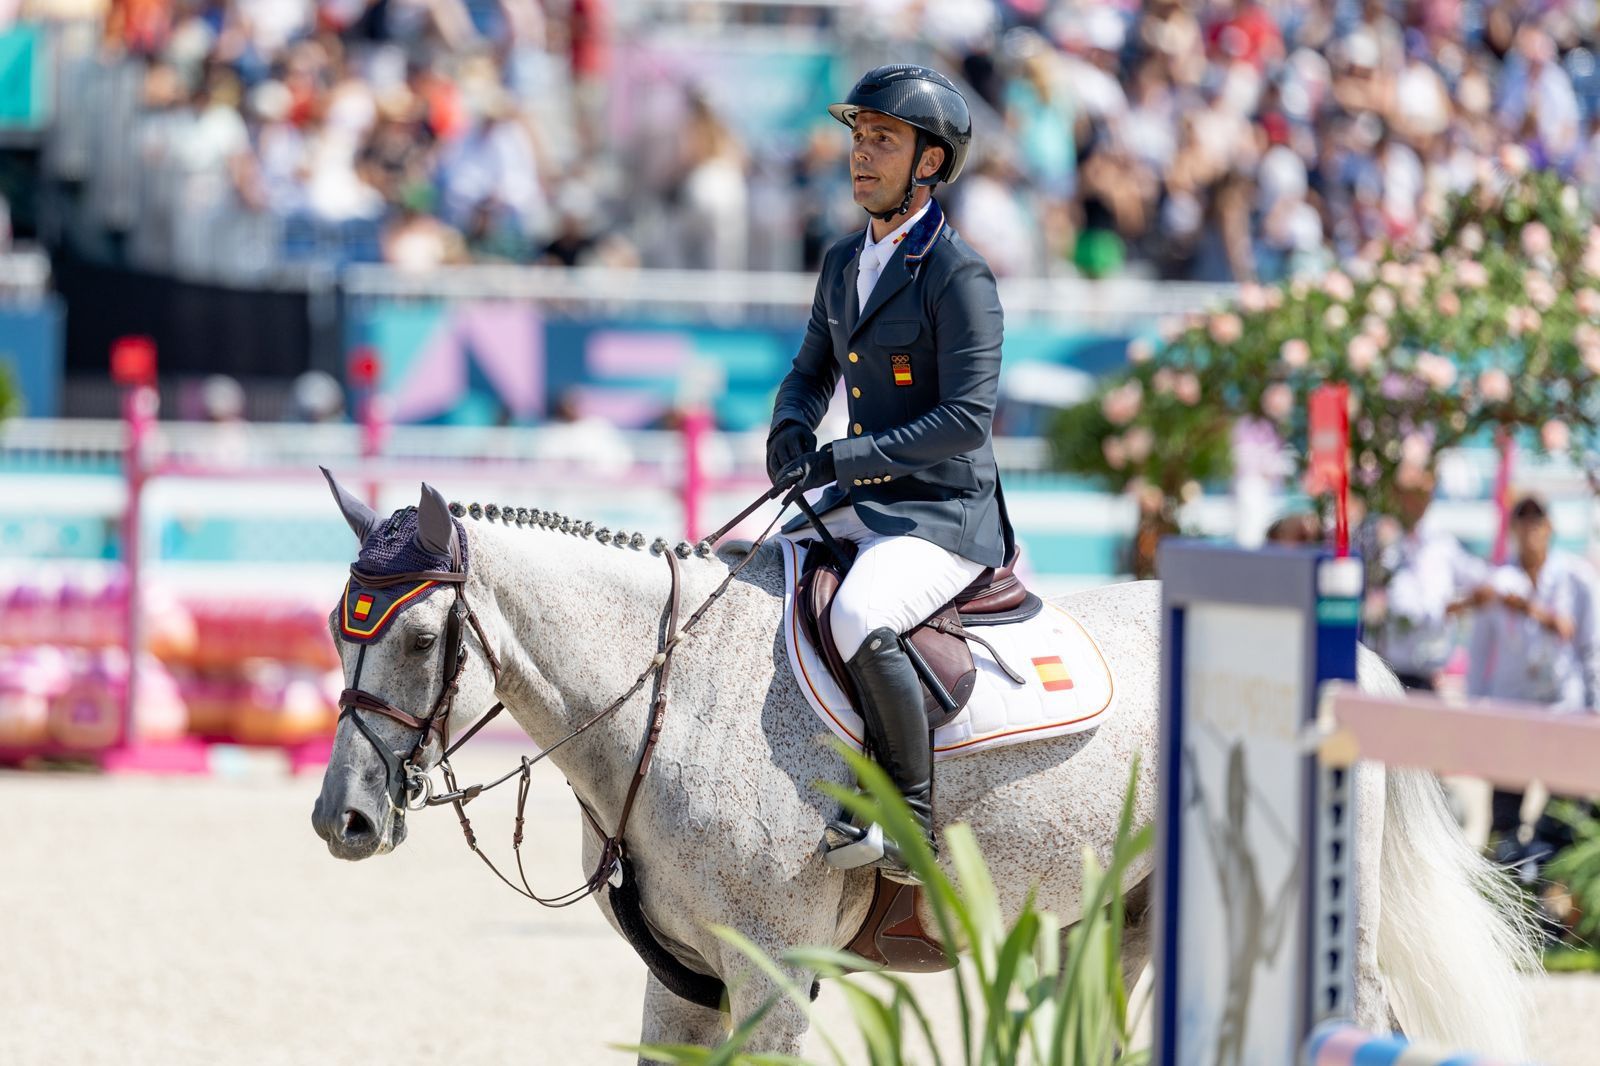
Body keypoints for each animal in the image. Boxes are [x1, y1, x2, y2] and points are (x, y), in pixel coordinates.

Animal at [308, 480, 1536, 1056]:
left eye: (424, 639)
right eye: (334, 627)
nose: (342, 822)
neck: (671, 698)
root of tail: (1360, 654)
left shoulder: (771, 975)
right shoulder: (685, 978)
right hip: (1126, 917)